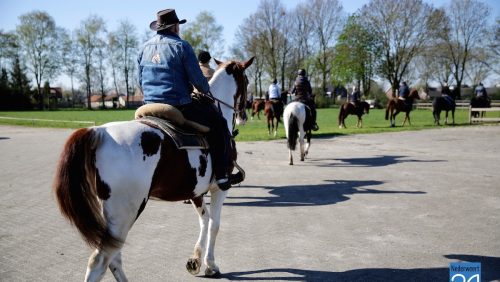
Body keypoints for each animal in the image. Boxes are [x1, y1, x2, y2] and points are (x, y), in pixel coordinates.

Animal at [53, 56, 254, 280]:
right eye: (246, 80)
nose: (244, 115)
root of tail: (99, 132)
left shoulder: (196, 192)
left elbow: (204, 219)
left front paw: (195, 261)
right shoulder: (220, 188)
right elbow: (214, 224)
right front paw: (210, 265)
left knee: (114, 257)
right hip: (126, 212)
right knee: (100, 261)